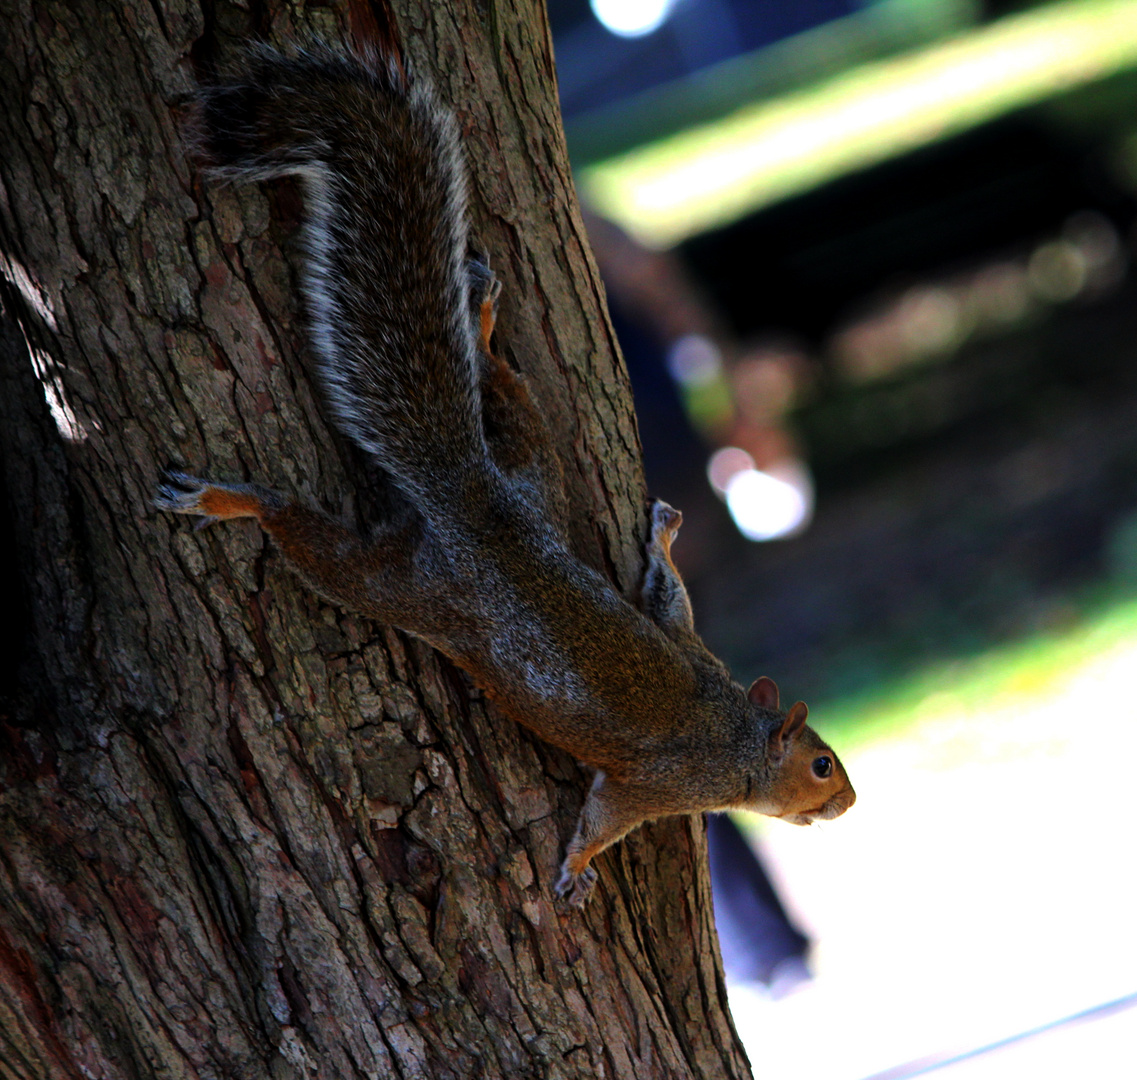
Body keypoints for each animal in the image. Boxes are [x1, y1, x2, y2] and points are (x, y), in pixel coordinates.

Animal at [158, 42, 855, 909]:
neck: (733, 730)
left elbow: (665, 596)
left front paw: (662, 537)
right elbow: (604, 817)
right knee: (317, 548)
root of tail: (469, 493)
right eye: (821, 763)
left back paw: (483, 325)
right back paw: (233, 502)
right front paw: (576, 870)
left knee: (505, 397)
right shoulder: (660, 784)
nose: (850, 801)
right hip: (411, 585)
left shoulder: (690, 645)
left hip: (533, 472)